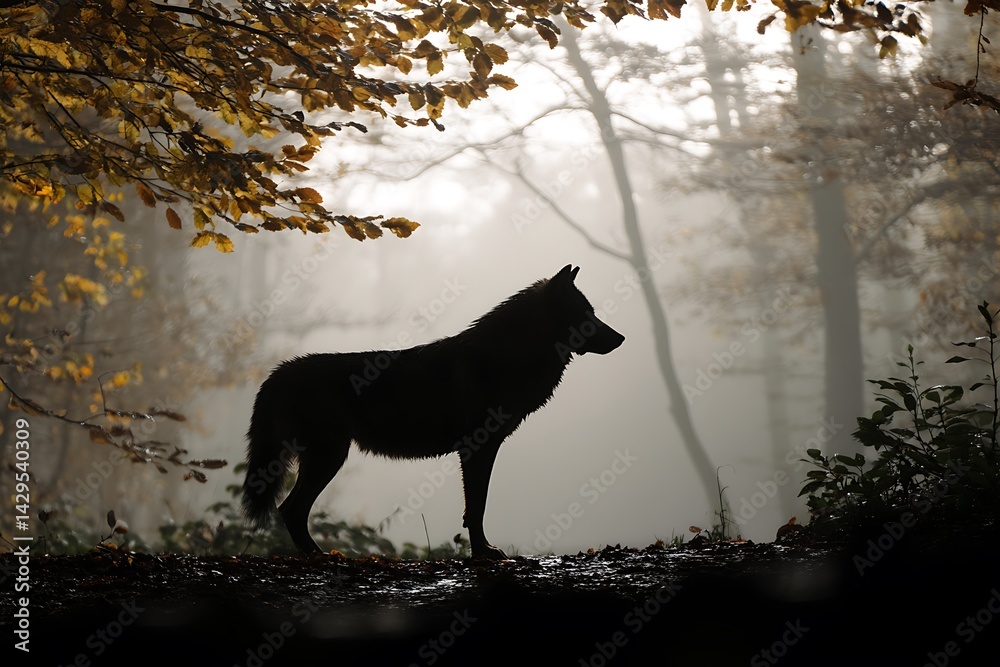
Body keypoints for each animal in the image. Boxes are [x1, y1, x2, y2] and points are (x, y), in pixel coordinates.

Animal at [241, 264, 624, 559]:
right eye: (586, 314)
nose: (620, 338)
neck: (506, 357)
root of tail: (279, 372)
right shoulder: (477, 448)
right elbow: (477, 507)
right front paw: (483, 555)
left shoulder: (482, 449)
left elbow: (475, 509)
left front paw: (482, 552)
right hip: (329, 458)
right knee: (291, 510)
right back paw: (322, 557)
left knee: (289, 510)